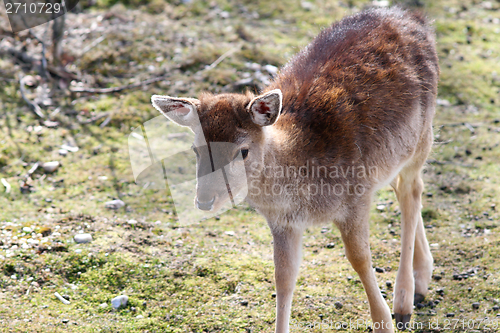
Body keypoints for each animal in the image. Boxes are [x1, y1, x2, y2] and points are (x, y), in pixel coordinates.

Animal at [151, 5, 438, 332]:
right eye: (195, 148)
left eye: (243, 151)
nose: (204, 201)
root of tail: (411, 16)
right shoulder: (283, 223)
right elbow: (284, 277)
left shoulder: (355, 197)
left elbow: (360, 259)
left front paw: (386, 320)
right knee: (401, 188)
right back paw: (422, 280)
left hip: (422, 135)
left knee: (412, 190)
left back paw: (404, 302)